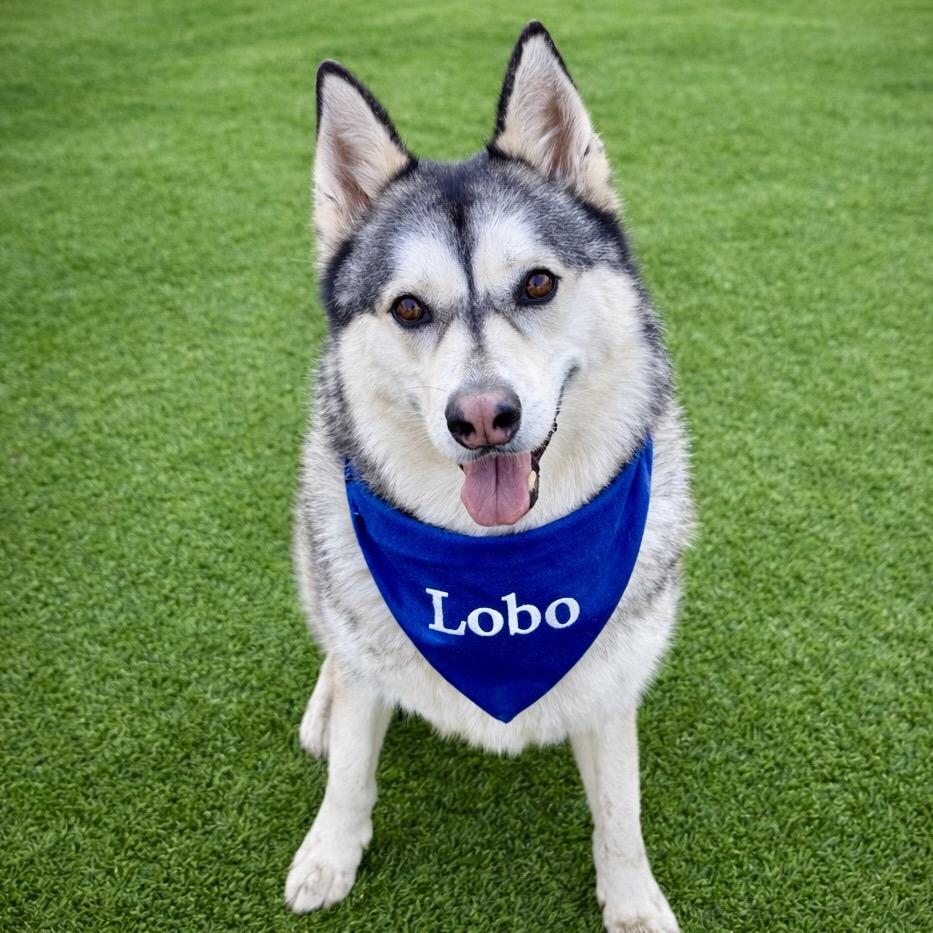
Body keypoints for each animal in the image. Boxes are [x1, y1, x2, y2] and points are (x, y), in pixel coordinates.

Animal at [285, 21, 693, 932]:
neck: (499, 566)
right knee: (337, 636)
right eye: (408, 307)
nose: (481, 417)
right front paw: (330, 853)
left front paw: (632, 899)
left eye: (537, 283)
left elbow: (621, 806)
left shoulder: (611, 681)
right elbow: (351, 769)